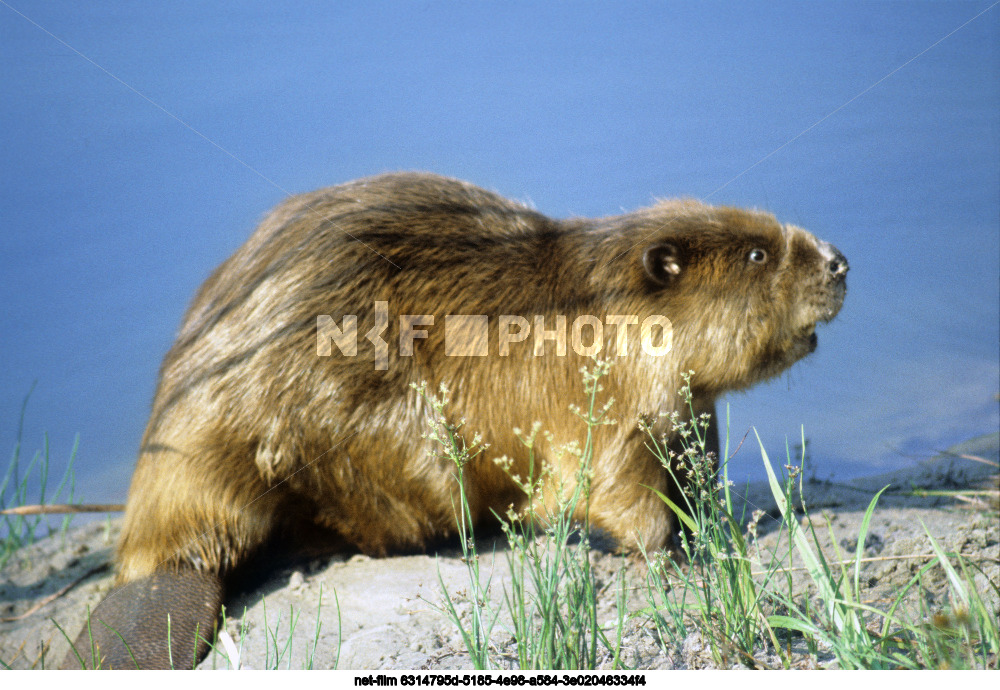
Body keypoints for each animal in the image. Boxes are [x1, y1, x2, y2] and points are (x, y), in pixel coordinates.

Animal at [60, 172, 844, 668]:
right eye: (757, 252)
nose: (838, 260)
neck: (594, 308)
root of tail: (164, 557)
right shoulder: (604, 403)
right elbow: (612, 489)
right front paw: (677, 555)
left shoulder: (687, 405)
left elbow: (692, 461)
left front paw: (709, 520)